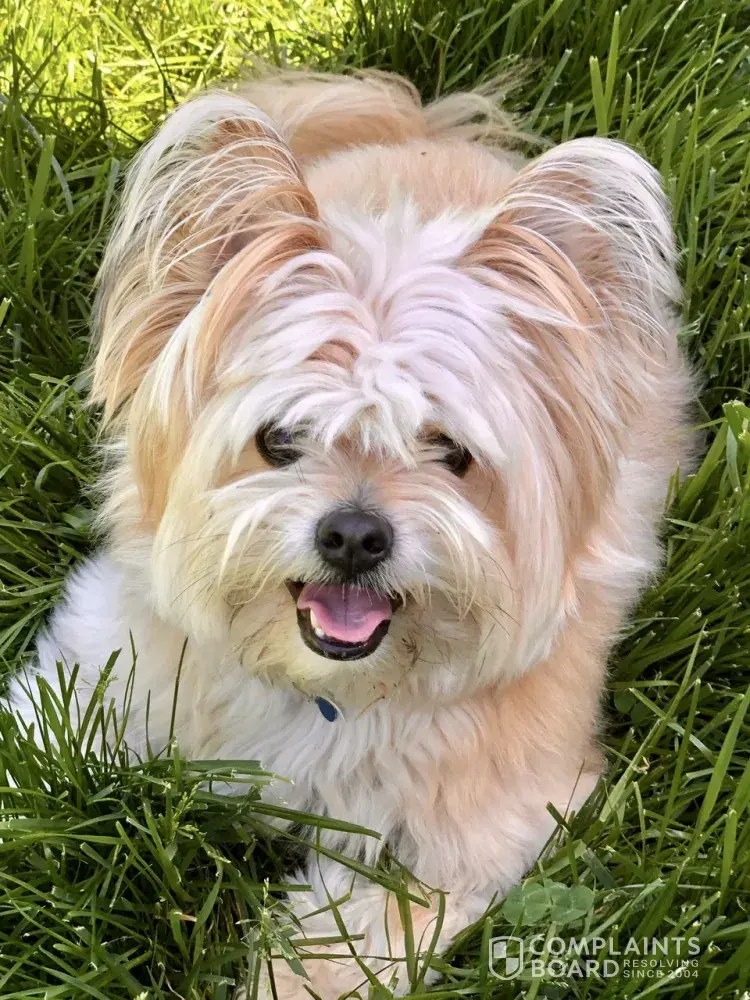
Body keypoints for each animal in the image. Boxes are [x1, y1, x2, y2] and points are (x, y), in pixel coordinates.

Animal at [9, 71, 692, 997]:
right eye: (279, 438)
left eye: (451, 453)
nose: (356, 536)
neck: (321, 689)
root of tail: (424, 127)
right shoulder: (98, 663)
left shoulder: (483, 828)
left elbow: (352, 941)